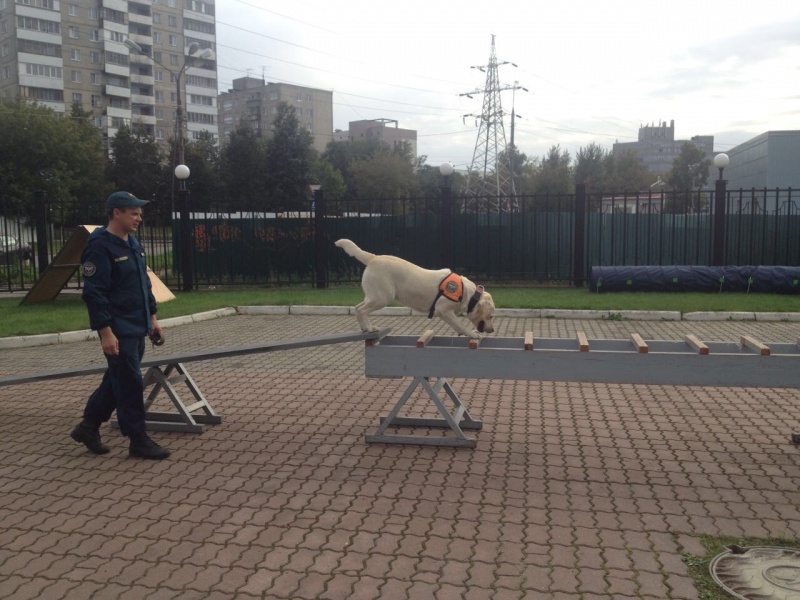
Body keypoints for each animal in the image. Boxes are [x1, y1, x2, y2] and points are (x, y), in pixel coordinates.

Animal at [336, 238, 494, 340]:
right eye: (491, 316)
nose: (492, 330)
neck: (468, 295)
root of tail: (374, 258)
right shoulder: (443, 310)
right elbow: (461, 325)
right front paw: (472, 334)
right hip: (382, 298)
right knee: (362, 310)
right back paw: (369, 328)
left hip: (374, 296)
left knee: (357, 308)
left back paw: (365, 327)